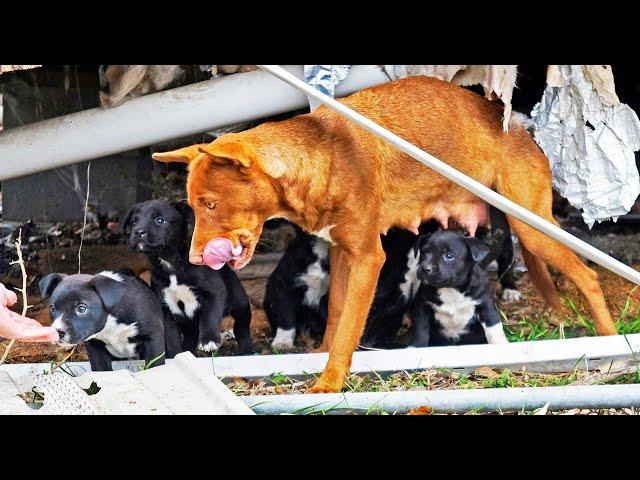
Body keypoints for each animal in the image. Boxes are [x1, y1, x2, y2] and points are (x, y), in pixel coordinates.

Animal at [38, 270, 166, 372]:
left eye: (81, 309)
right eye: (52, 308)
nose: (58, 331)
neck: (110, 322)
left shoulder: (153, 336)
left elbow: (156, 363)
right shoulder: (95, 345)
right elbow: (101, 369)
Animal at [122, 199, 252, 356]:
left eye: (160, 220)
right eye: (133, 222)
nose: (138, 231)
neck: (171, 264)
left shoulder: (215, 291)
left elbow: (209, 315)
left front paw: (209, 340)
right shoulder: (166, 308)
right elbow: (172, 339)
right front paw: (177, 357)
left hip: (240, 303)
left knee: (242, 327)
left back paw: (246, 350)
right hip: (190, 326)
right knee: (190, 337)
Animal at [152, 77, 616, 394]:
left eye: (210, 205)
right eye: (192, 206)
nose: (195, 261)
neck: (325, 157)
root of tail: (516, 126)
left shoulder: (367, 258)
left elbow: (348, 330)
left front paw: (329, 383)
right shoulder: (343, 253)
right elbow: (337, 315)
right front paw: (319, 359)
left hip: (532, 228)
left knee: (590, 275)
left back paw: (611, 342)